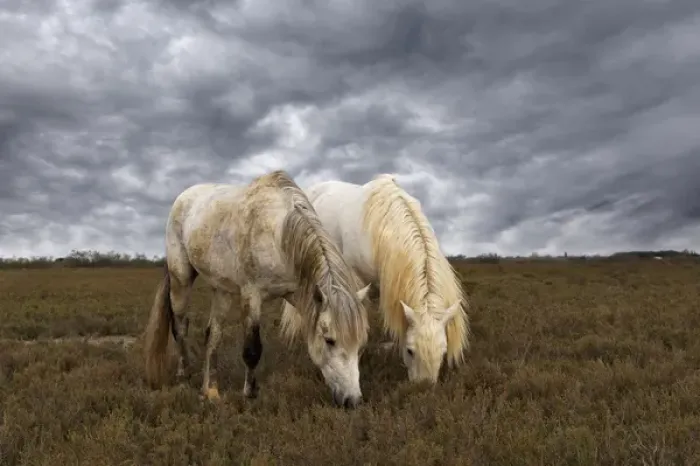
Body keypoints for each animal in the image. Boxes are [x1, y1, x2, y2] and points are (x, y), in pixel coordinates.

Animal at [143, 170, 371, 408]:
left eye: (360, 345)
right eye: (329, 341)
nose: (353, 400)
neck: (279, 234)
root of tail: (183, 197)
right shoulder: (251, 295)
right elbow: (252, 349)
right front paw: (250, 393)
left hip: (222, 291)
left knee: (213, 334)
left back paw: (210, 390)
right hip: (181, 278)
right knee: (180, 328)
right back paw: (183, 375)